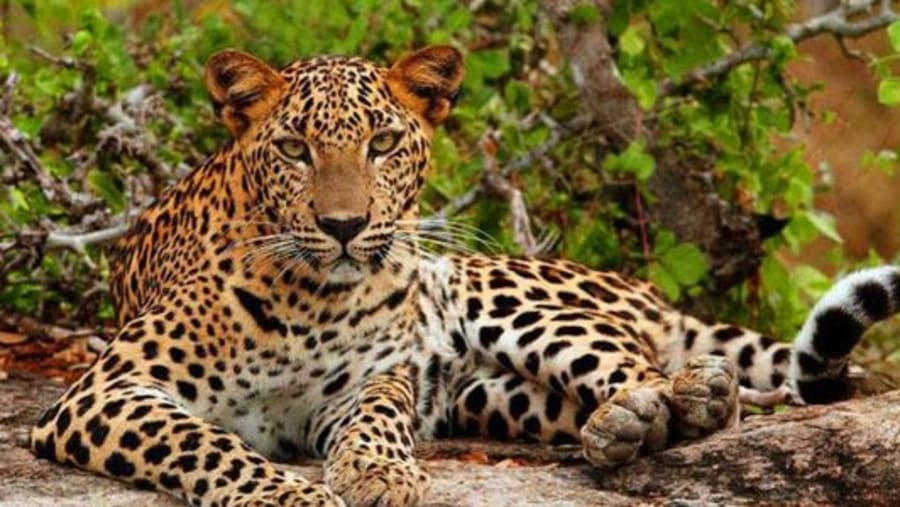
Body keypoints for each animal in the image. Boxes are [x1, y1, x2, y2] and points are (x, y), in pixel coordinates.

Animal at [29, 45, 900, 507]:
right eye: (295, 150)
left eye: (382, 143)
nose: (343, 227)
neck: (308, 298)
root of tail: (643, 287)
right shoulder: (102, 391)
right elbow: (203, 438)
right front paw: (291, 491)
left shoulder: (365, 382)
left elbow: (376, 418)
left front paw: (379, 471)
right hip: (490, 393)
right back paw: (626, 425)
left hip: (500, 294)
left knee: (641, 362)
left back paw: (678, 397)